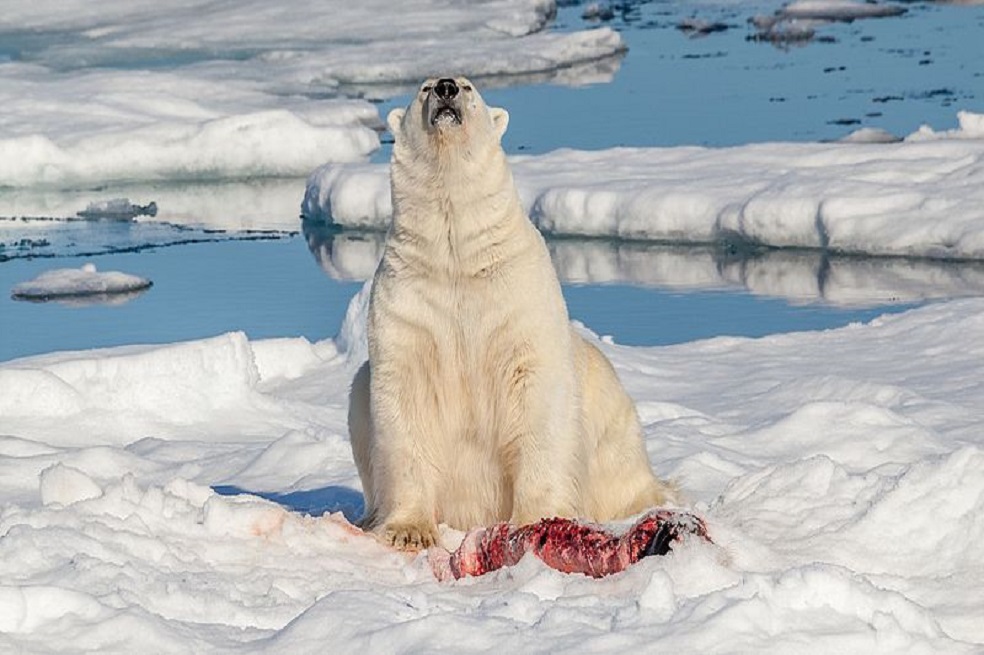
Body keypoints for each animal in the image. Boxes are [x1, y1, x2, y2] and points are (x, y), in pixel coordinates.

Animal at [348, 76, 675, 551]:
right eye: (423, 87)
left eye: (469, 86)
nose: (446, 88)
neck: (459, 260)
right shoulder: (408, 309)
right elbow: (405, 405)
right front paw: (409, 531)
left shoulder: (518, 303)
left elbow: (535, 399)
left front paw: (534, 519)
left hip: (614, 429)